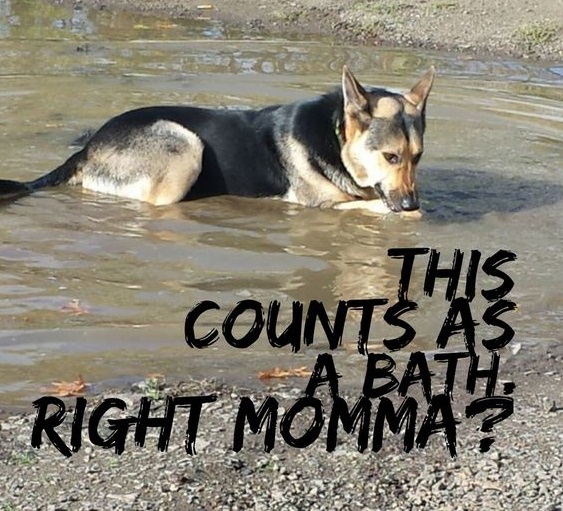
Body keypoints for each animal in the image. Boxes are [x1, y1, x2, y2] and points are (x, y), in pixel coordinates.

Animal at [0, 66, 436, 214]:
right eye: (391, 157)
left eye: (417, 157)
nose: (412, 201)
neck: (334, 140)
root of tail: (87, 148)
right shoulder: (321, 205)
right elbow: (377, 208)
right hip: (185, 146)